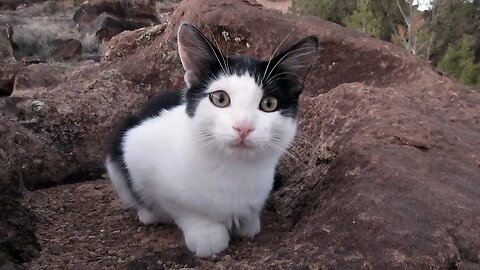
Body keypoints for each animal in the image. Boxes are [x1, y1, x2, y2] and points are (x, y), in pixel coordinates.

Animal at [104, 23, 318, 258]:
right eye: (220, 98)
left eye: (269, 103)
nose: (243, 127)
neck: (232, 168)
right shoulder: (135, 146)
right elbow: (180, 206)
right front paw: (206, 231)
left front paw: (247, 221)